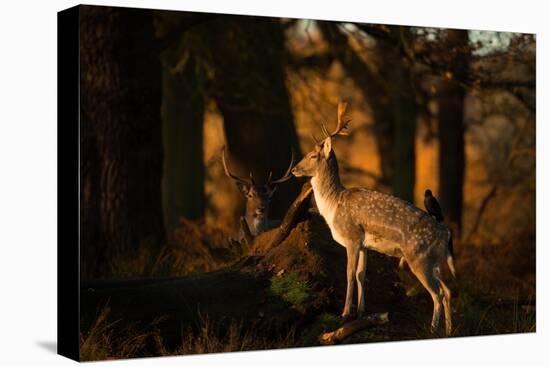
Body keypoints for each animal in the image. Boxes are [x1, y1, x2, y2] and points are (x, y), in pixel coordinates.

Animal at [294, 102, 458, 338]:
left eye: (313, 155)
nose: (294, 169)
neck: (333, 206)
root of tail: (446, 233)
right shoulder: (364, 245)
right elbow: (361, 274)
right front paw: (362, 312)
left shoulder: (352, 237)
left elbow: (349, 273)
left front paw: (345, 313)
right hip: (435, 260)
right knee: (448, 290)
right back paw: (449, 330)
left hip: (419, 257)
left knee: (438, 293)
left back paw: (433, 330)